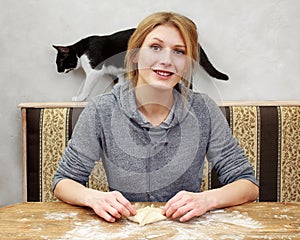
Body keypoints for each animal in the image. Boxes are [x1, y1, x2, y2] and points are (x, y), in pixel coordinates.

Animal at [52, 27, 229, 101]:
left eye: (59, 62)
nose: (58, 71)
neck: (81, 49)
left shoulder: (95, 69)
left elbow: (87, 86)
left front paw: (80, 97)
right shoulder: (119, 72)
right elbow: (120, 81)